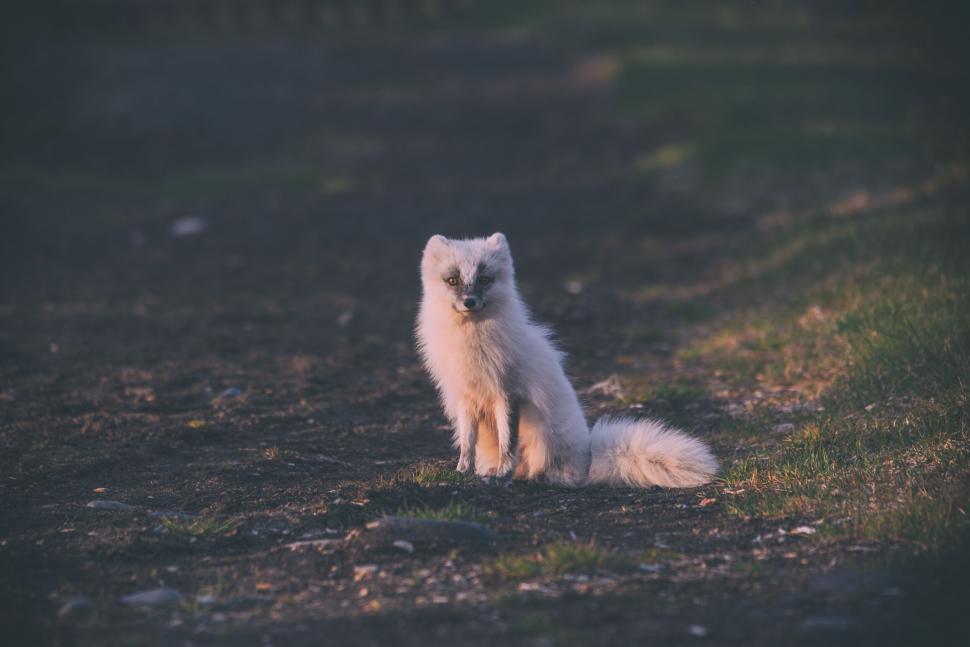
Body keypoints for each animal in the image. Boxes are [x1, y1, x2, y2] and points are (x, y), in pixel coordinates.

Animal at [416, 232, 718, 488]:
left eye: (485, 280)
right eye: (453, 280)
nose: (469, 302)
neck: (470, 343)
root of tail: (588, 457)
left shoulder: (508, 393)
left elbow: (507, 444)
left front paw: (502, 475)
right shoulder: (466, 398)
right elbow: (467, 442)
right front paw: (462, 471)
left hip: (544, 439)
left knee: (551, 471)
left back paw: (534, 477)